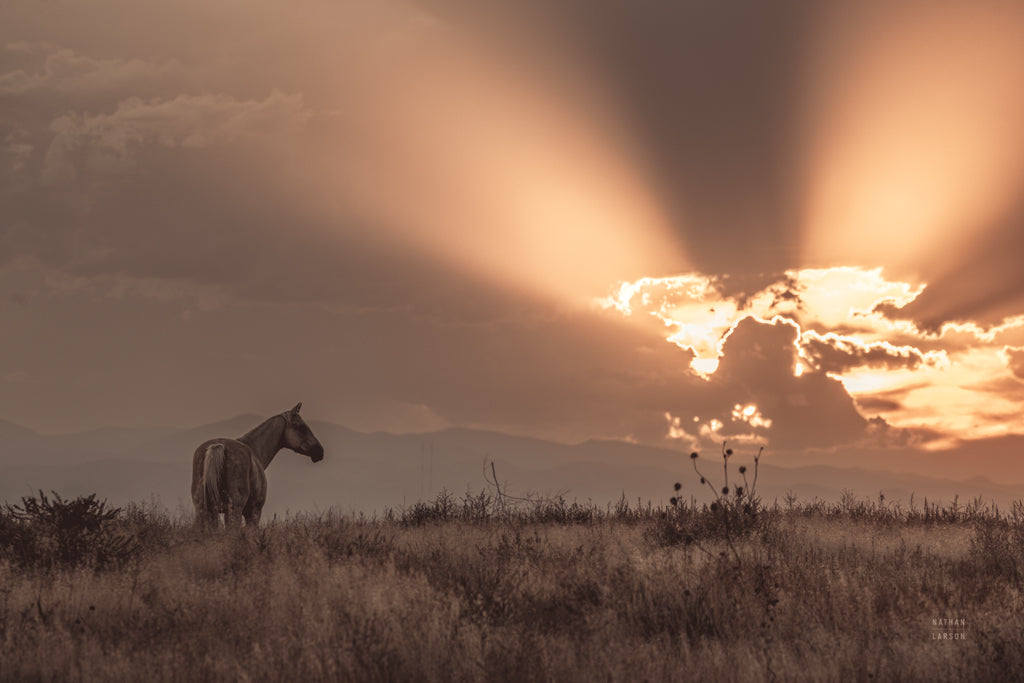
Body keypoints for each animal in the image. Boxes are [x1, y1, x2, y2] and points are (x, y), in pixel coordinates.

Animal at [189, 403, 323, 528]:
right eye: (300, 426)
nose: (320, 451)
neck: (254, 449)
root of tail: (219, 446)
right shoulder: (253, 513)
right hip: (233, 510)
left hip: (203, 510)